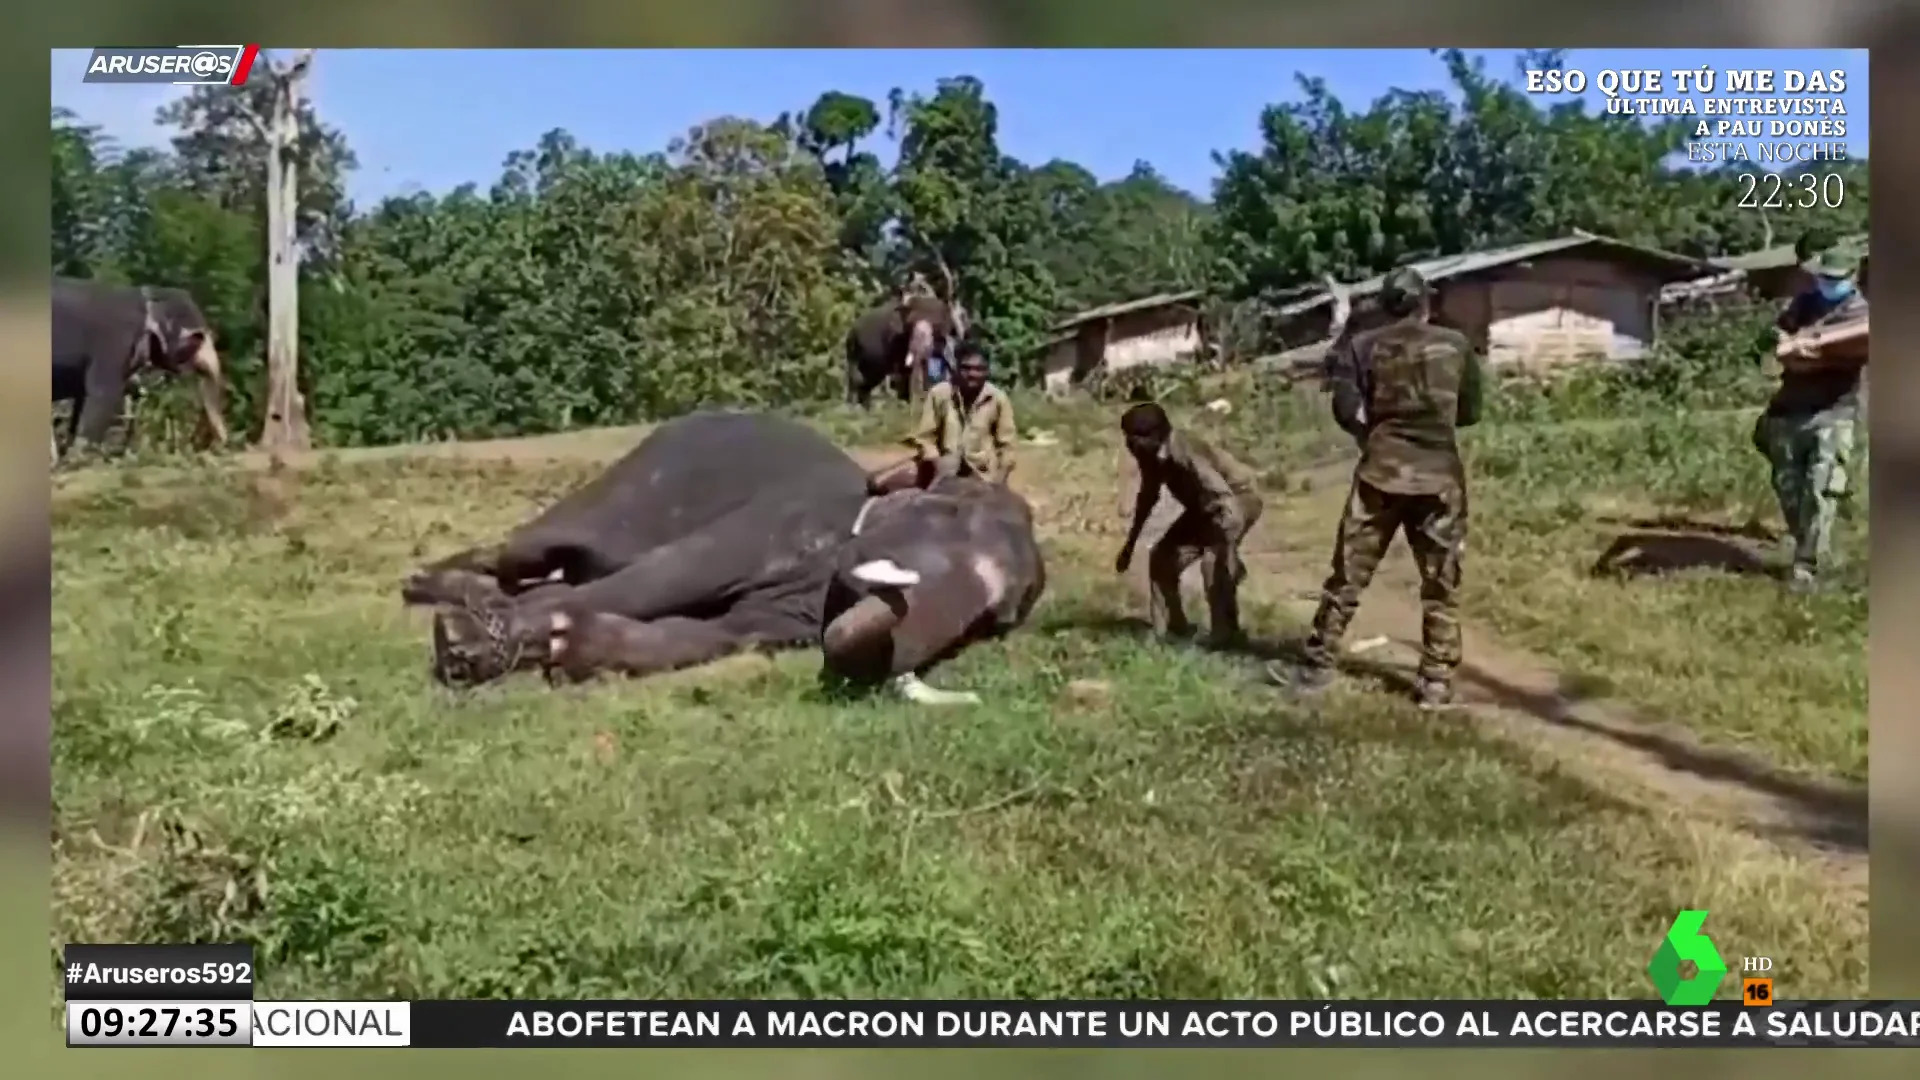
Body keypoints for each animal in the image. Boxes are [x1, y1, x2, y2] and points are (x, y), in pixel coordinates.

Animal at [52, 274, 230, 461]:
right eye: (199, 337)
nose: (221, 445)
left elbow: (81, 398)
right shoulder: (114, 343)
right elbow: (102, 392)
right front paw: (81, 457)